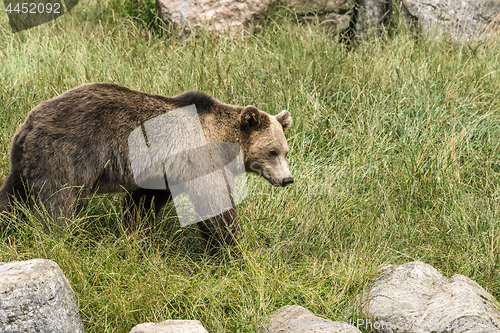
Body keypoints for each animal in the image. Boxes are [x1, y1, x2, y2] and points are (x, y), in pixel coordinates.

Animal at [0, 83, 292, 244]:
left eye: (285, 152)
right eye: (272, 152)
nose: (287, 179)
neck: (224, 141)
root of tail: (28, 124)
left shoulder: (160, 173)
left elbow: (143, 204)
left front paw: (132, 233)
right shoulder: (201, 159)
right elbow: (215, 204)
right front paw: (232, 246)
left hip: (26, 163)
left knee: (12, 197)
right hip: (68, 153)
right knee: (61, 200)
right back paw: (59, 237)